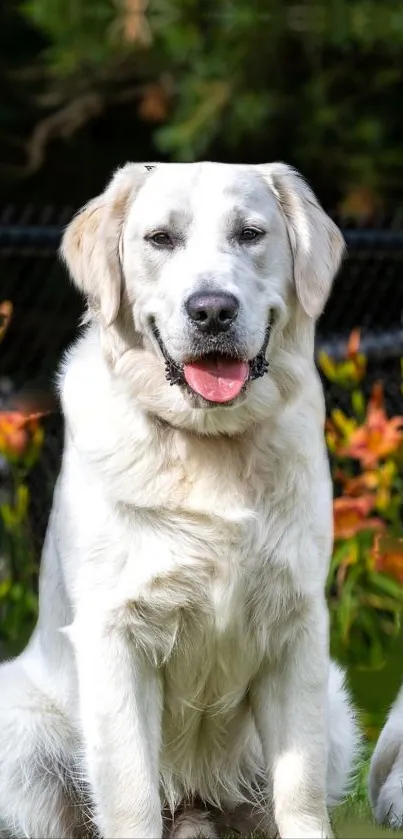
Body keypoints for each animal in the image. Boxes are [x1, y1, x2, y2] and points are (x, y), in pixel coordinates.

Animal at [0, 161, 360, 836]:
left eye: (250, 234)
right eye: (160, 239)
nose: (212, 310)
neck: (208, 445)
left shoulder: (298, 633)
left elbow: (298, 791)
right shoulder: (116, 636)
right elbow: (132, 793)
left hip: (333, 706)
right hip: (19, 727)